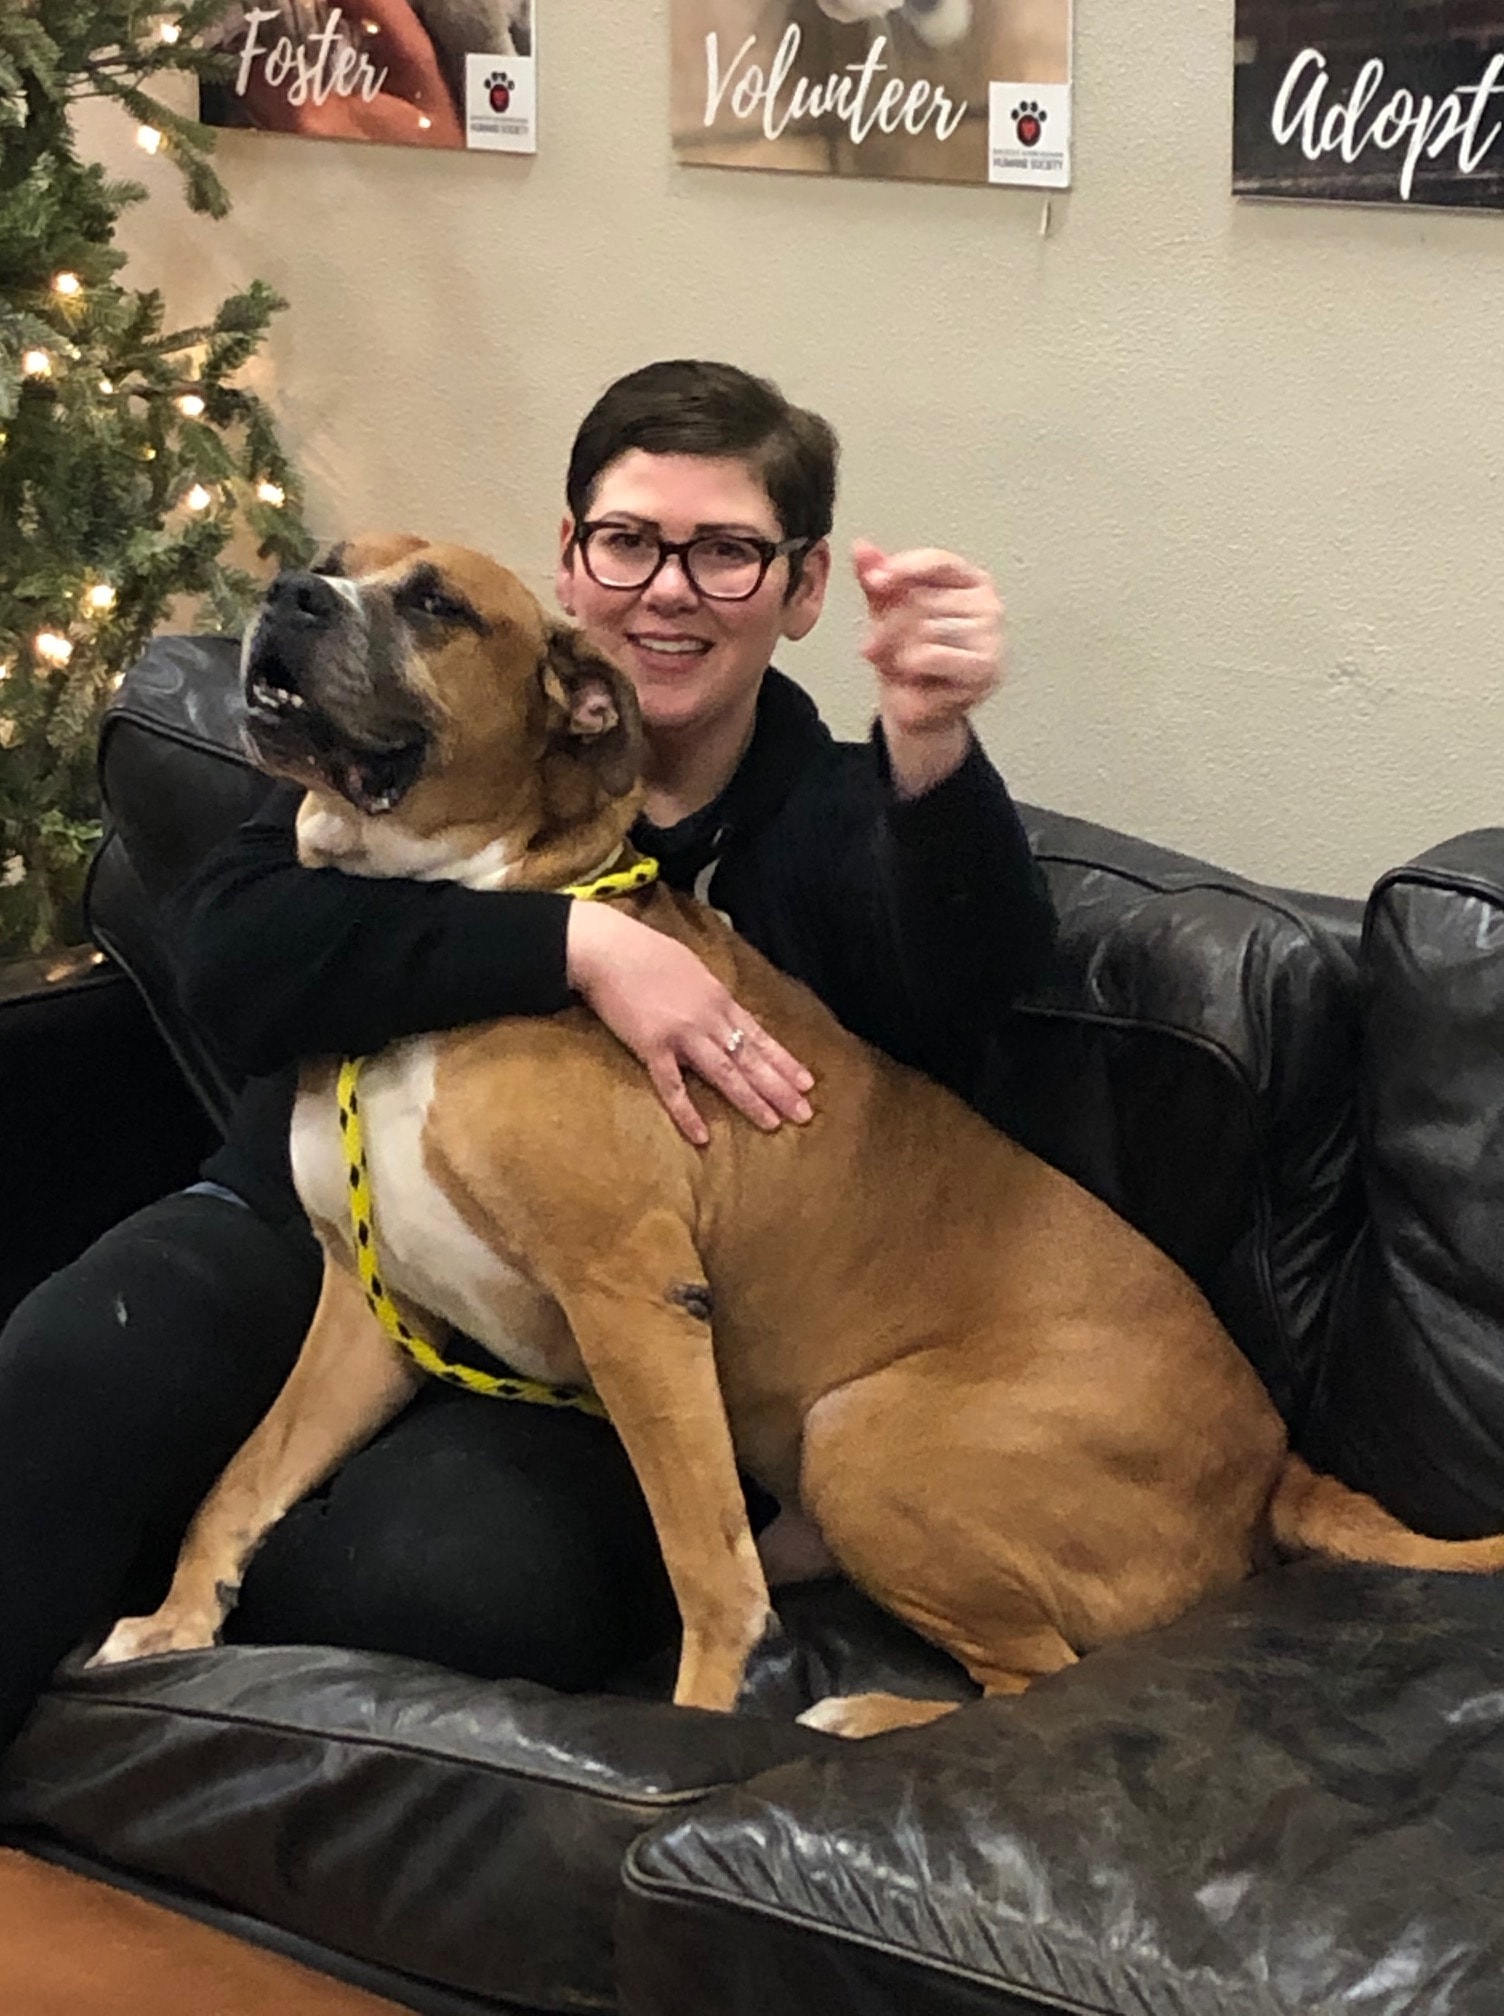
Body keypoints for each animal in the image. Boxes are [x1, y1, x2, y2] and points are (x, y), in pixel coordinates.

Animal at [90, 536, 1499, 1733]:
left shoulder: (633, 1299)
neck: (459, 921)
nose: (288, 594)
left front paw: (697, 1728)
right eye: (333, 563)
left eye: (437, 604)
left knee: (1029, 1678)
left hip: (866, 1436)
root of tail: (1276, 1468)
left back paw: (856, 1713)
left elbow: (705, 1573)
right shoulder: (369, 1309)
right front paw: (171, 1625)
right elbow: (237, 1482)